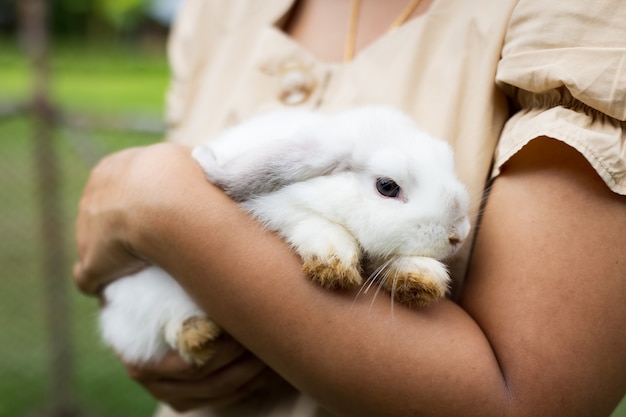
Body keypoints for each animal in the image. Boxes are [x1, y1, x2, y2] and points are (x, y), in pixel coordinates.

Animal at [98, 106, 468, 364]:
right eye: (387, 186)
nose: (459, 235)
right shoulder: (277, 209)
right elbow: (314, 223)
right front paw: (332, 262)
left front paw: (421, 278)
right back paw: (197, 335)